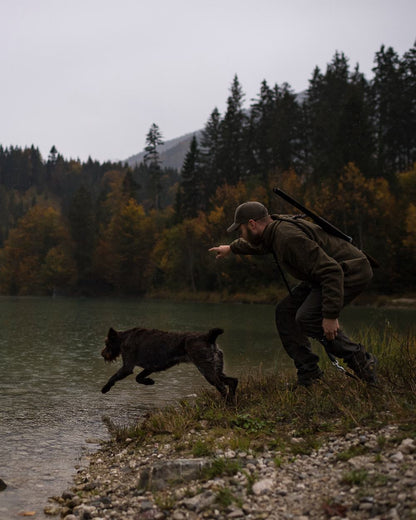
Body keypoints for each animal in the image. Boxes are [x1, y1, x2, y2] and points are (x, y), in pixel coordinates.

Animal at [100, 328, 237, 404]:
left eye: (107, 343)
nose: (102, 353)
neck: (124, 338)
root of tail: (208, 338)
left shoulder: (127, 367)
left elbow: (113, 377)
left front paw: (105, 388)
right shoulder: (150, 367)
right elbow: (138, 378)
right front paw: (149, 381)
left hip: (207, 370)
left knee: (222, 387)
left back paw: (226, 403)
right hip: (217, 369)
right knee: (233, 381)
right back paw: (232, 402)